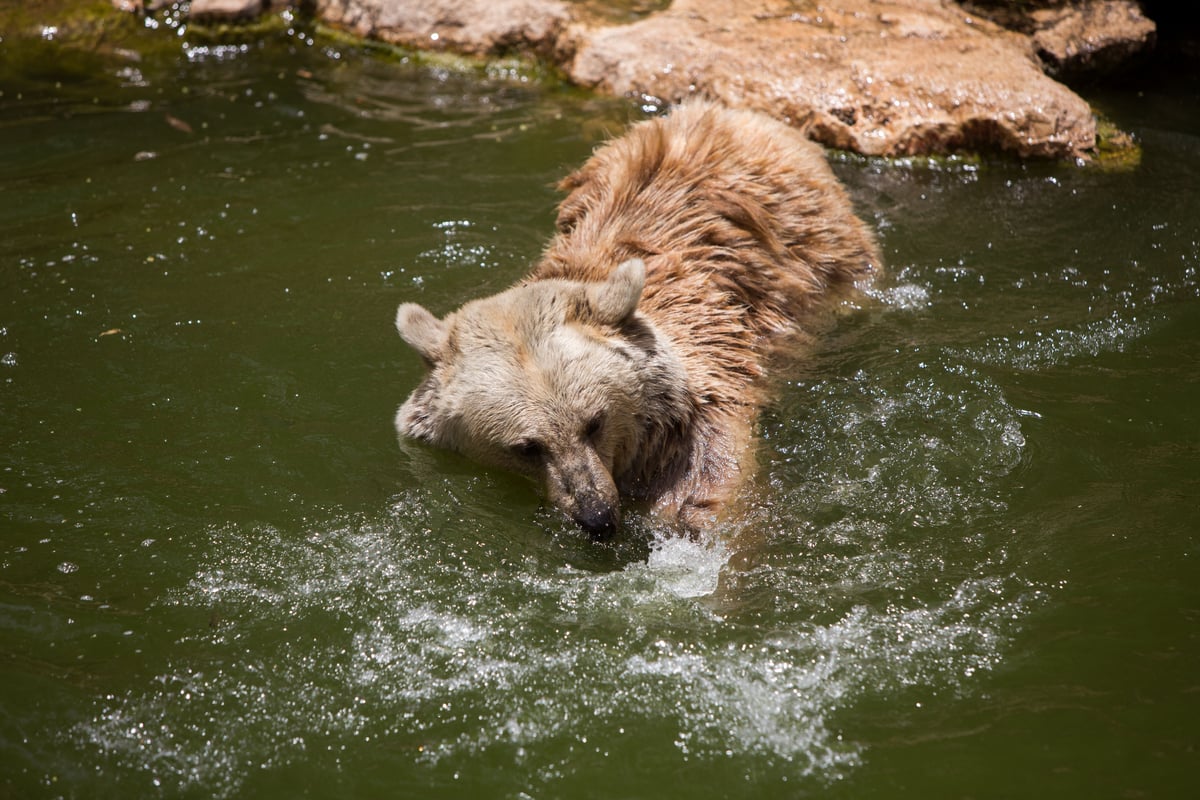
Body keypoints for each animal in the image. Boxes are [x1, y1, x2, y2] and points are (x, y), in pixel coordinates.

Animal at [398, 100, 878, 537]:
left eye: (594, 422)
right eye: (526, 447)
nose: (596, 516)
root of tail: (723, 111)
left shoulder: (696, 428)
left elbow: (707, 494)